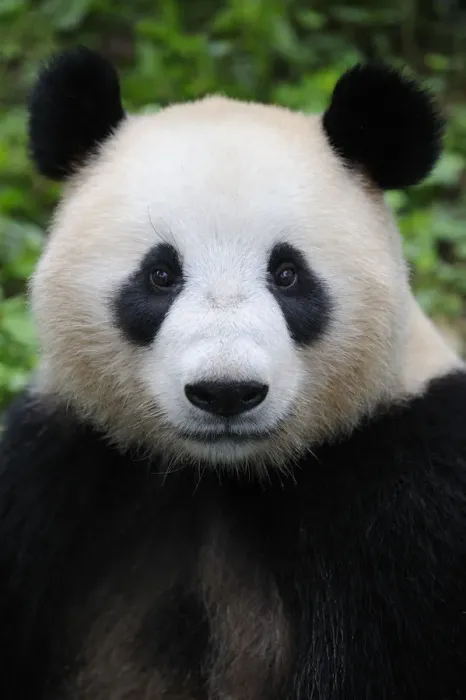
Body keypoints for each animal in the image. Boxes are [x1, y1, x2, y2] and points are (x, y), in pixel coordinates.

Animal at [1, 45, 465, 700]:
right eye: (161, 275)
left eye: (288, 274)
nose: (225, 393)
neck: (221, 476)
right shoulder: (53, 470)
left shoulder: (409, 503)